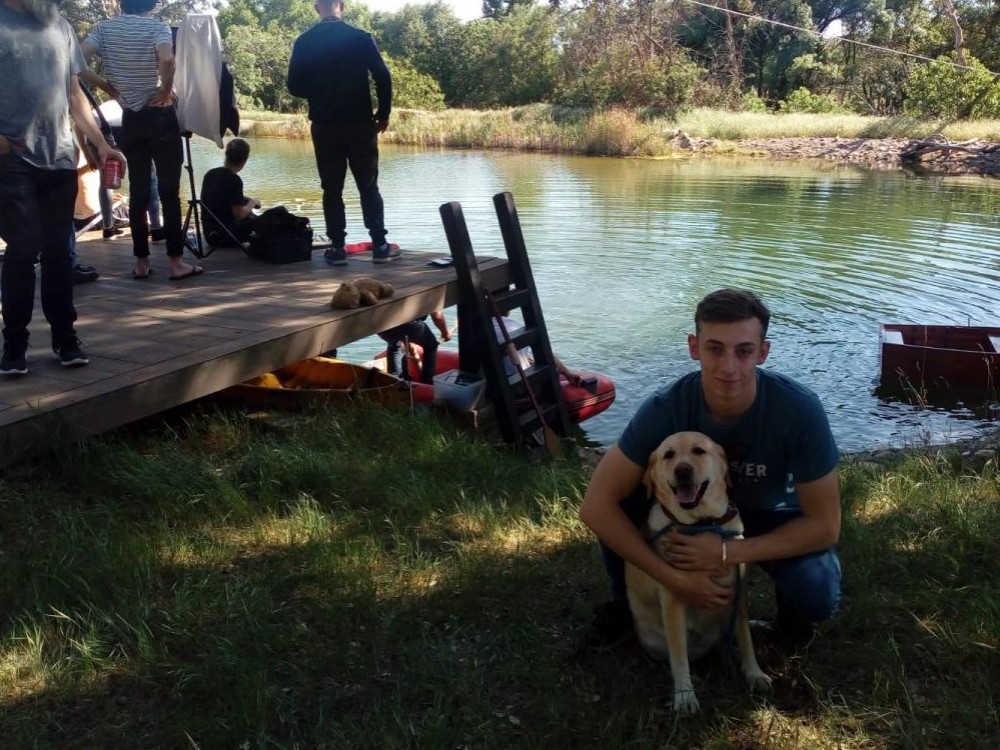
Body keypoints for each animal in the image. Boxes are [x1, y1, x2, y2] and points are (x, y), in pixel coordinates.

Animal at [624, 431, 771, 714]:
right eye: (669, 455)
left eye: (698, 451)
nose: (683, 470)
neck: (703, 524)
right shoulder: (673, 600)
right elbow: (679, 656)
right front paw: (684, 695)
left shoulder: (738, 589)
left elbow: (745, 638)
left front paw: (753, 672)